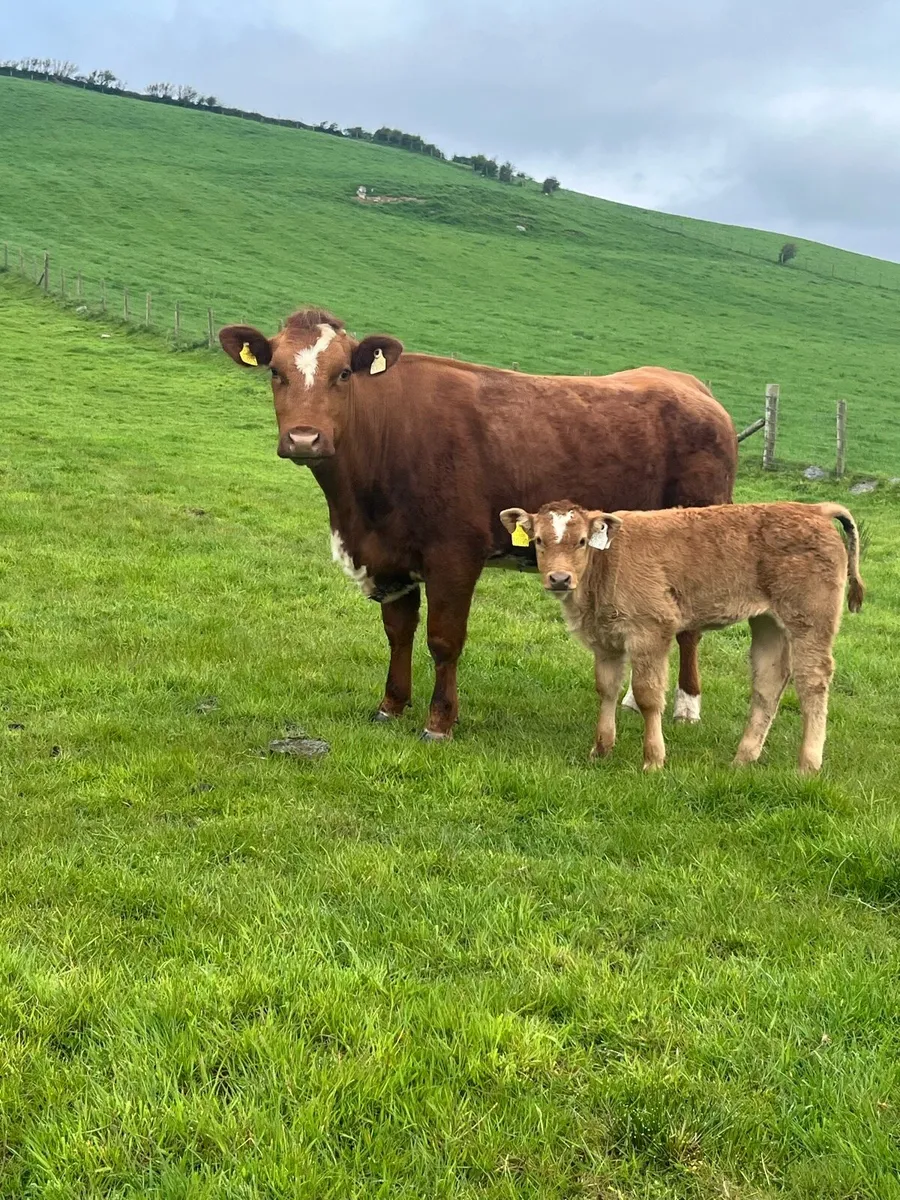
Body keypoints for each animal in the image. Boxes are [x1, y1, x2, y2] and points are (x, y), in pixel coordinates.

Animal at [219, 308, 737, 740]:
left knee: (689, 627)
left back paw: (687, 705)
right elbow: (398, 633)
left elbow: (444, 640)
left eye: (343, 373)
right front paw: (391, 705)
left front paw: (439, 722)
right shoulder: (390, 559)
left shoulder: (454, 555)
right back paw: (633, 698)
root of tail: (690, 385)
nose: (304, 438)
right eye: (275, 371)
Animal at [499, 500, 864, 772]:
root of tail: (815, 509)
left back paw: (808, 764)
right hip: (768, 621)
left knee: (812, 680)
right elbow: (606, 689)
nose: (559, 578)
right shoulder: (606, 641)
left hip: (809, 620)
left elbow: (647, 695)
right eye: (539, 540)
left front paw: (653, 760)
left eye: (581, 541)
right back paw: (743, 758)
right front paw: (600, 750)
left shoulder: (650, 632)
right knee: (769, 681)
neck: (606, 563)